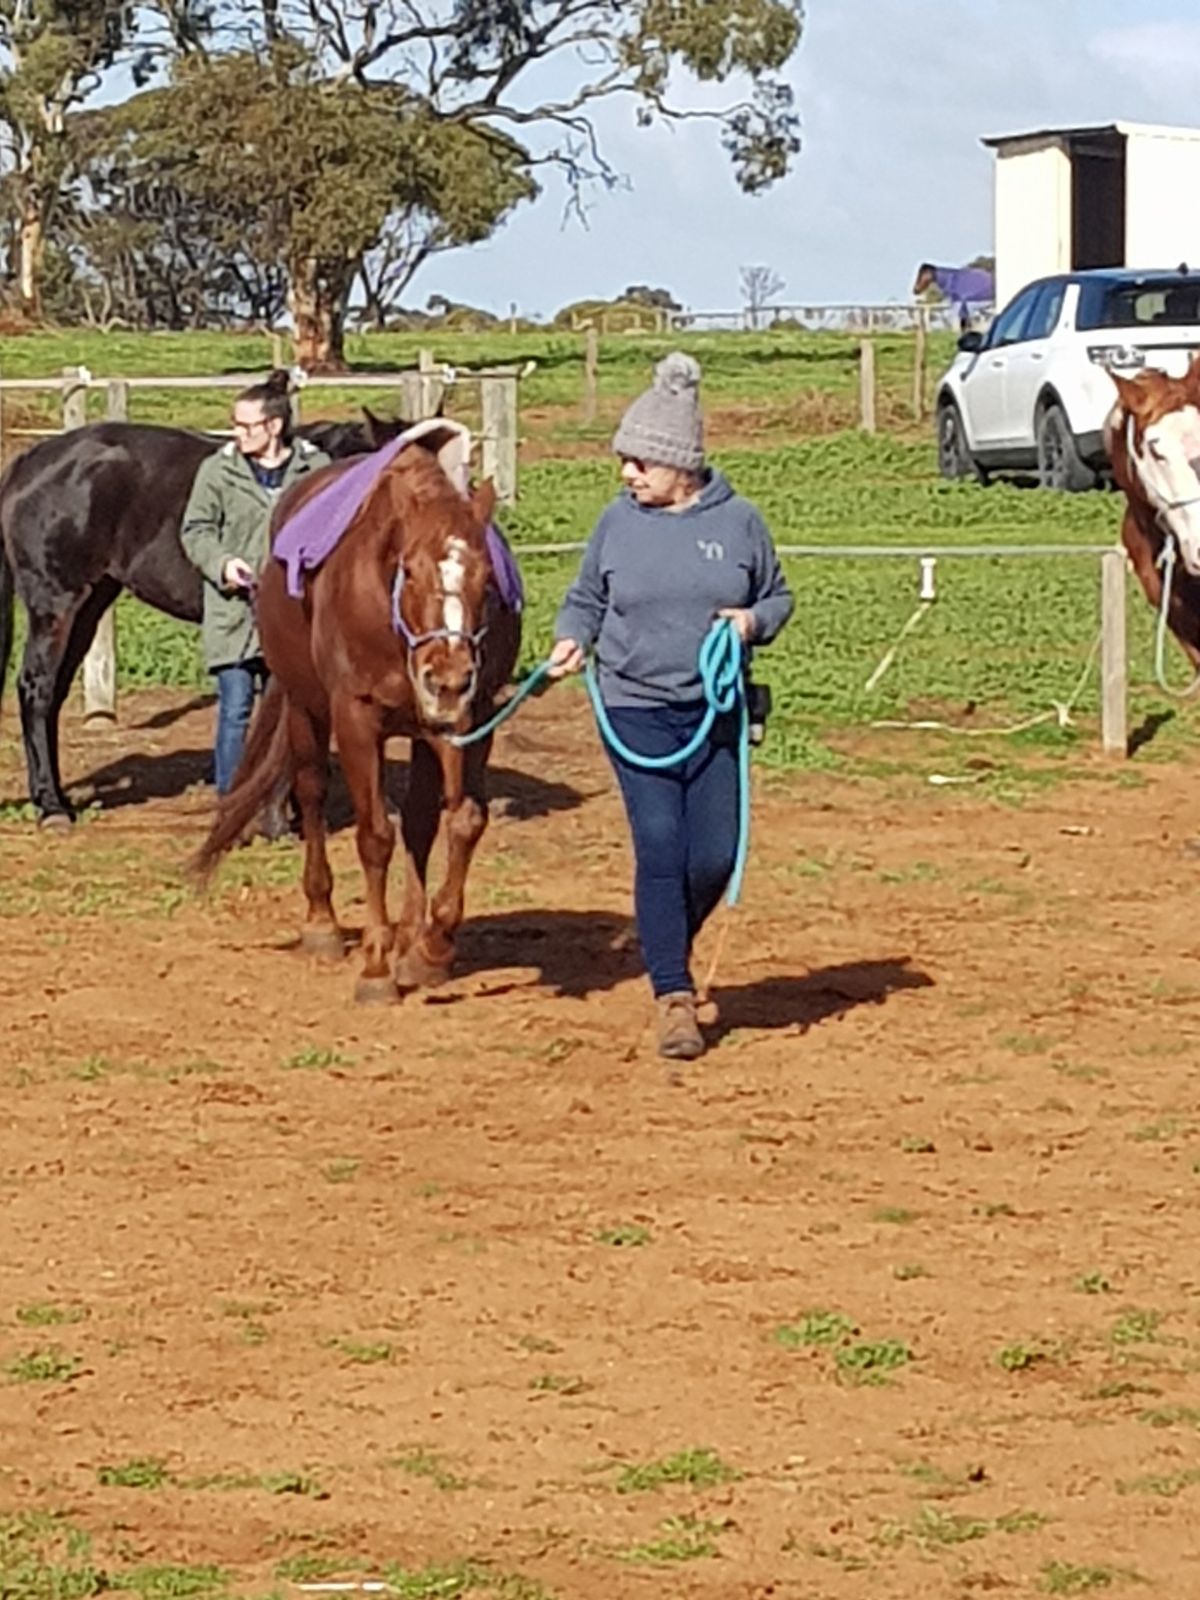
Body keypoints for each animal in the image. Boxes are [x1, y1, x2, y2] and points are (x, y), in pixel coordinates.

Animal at [0, 409, 409, 825]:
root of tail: (29, 462)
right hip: (56, 605)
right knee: (36, 689)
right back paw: (51, 807)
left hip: (91, 604)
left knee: (54, 692)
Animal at [190, 425, 518, 998]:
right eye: (409, 570)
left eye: (486, 579)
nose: (448, 679)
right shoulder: (356, 719)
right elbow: (374, 836)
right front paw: (376, 966)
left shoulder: (469, 720)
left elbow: (462, 821)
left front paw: (430, 947)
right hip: (305, 708)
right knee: (312, 792)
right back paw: (322, 922)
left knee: (419, 823)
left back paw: (410, 937)